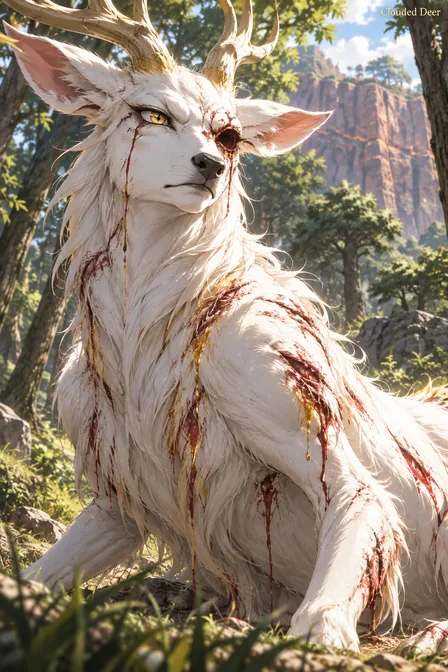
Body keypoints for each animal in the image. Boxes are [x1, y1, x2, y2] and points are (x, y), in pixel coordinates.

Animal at [3, 0, 448, 654]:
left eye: (229, 134)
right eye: (152, 113)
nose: (210, 165)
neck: (145, 334)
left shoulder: (269, 367)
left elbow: (361, 498)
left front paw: (321, 627)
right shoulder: (118, 489)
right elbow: (42, 572)